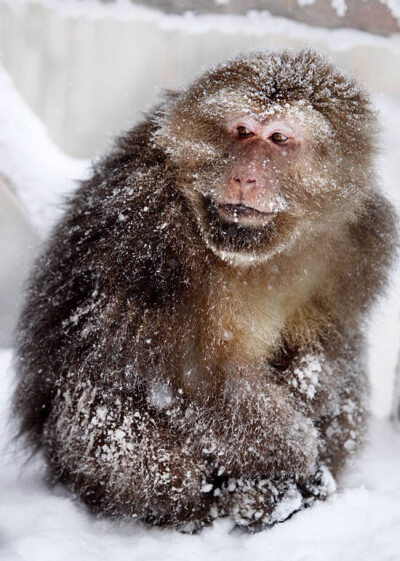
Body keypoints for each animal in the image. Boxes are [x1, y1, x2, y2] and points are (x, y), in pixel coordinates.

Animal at [13, 49, 396, 528]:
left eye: (278, 138)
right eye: (243, 131)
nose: (245, 177)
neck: (255, 249)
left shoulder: (360, 238)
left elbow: (335, 339)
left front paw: (311, 394)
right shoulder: (149, 232)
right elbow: (188, 375)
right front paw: (293, 449)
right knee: (110, 417)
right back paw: (230, 504)